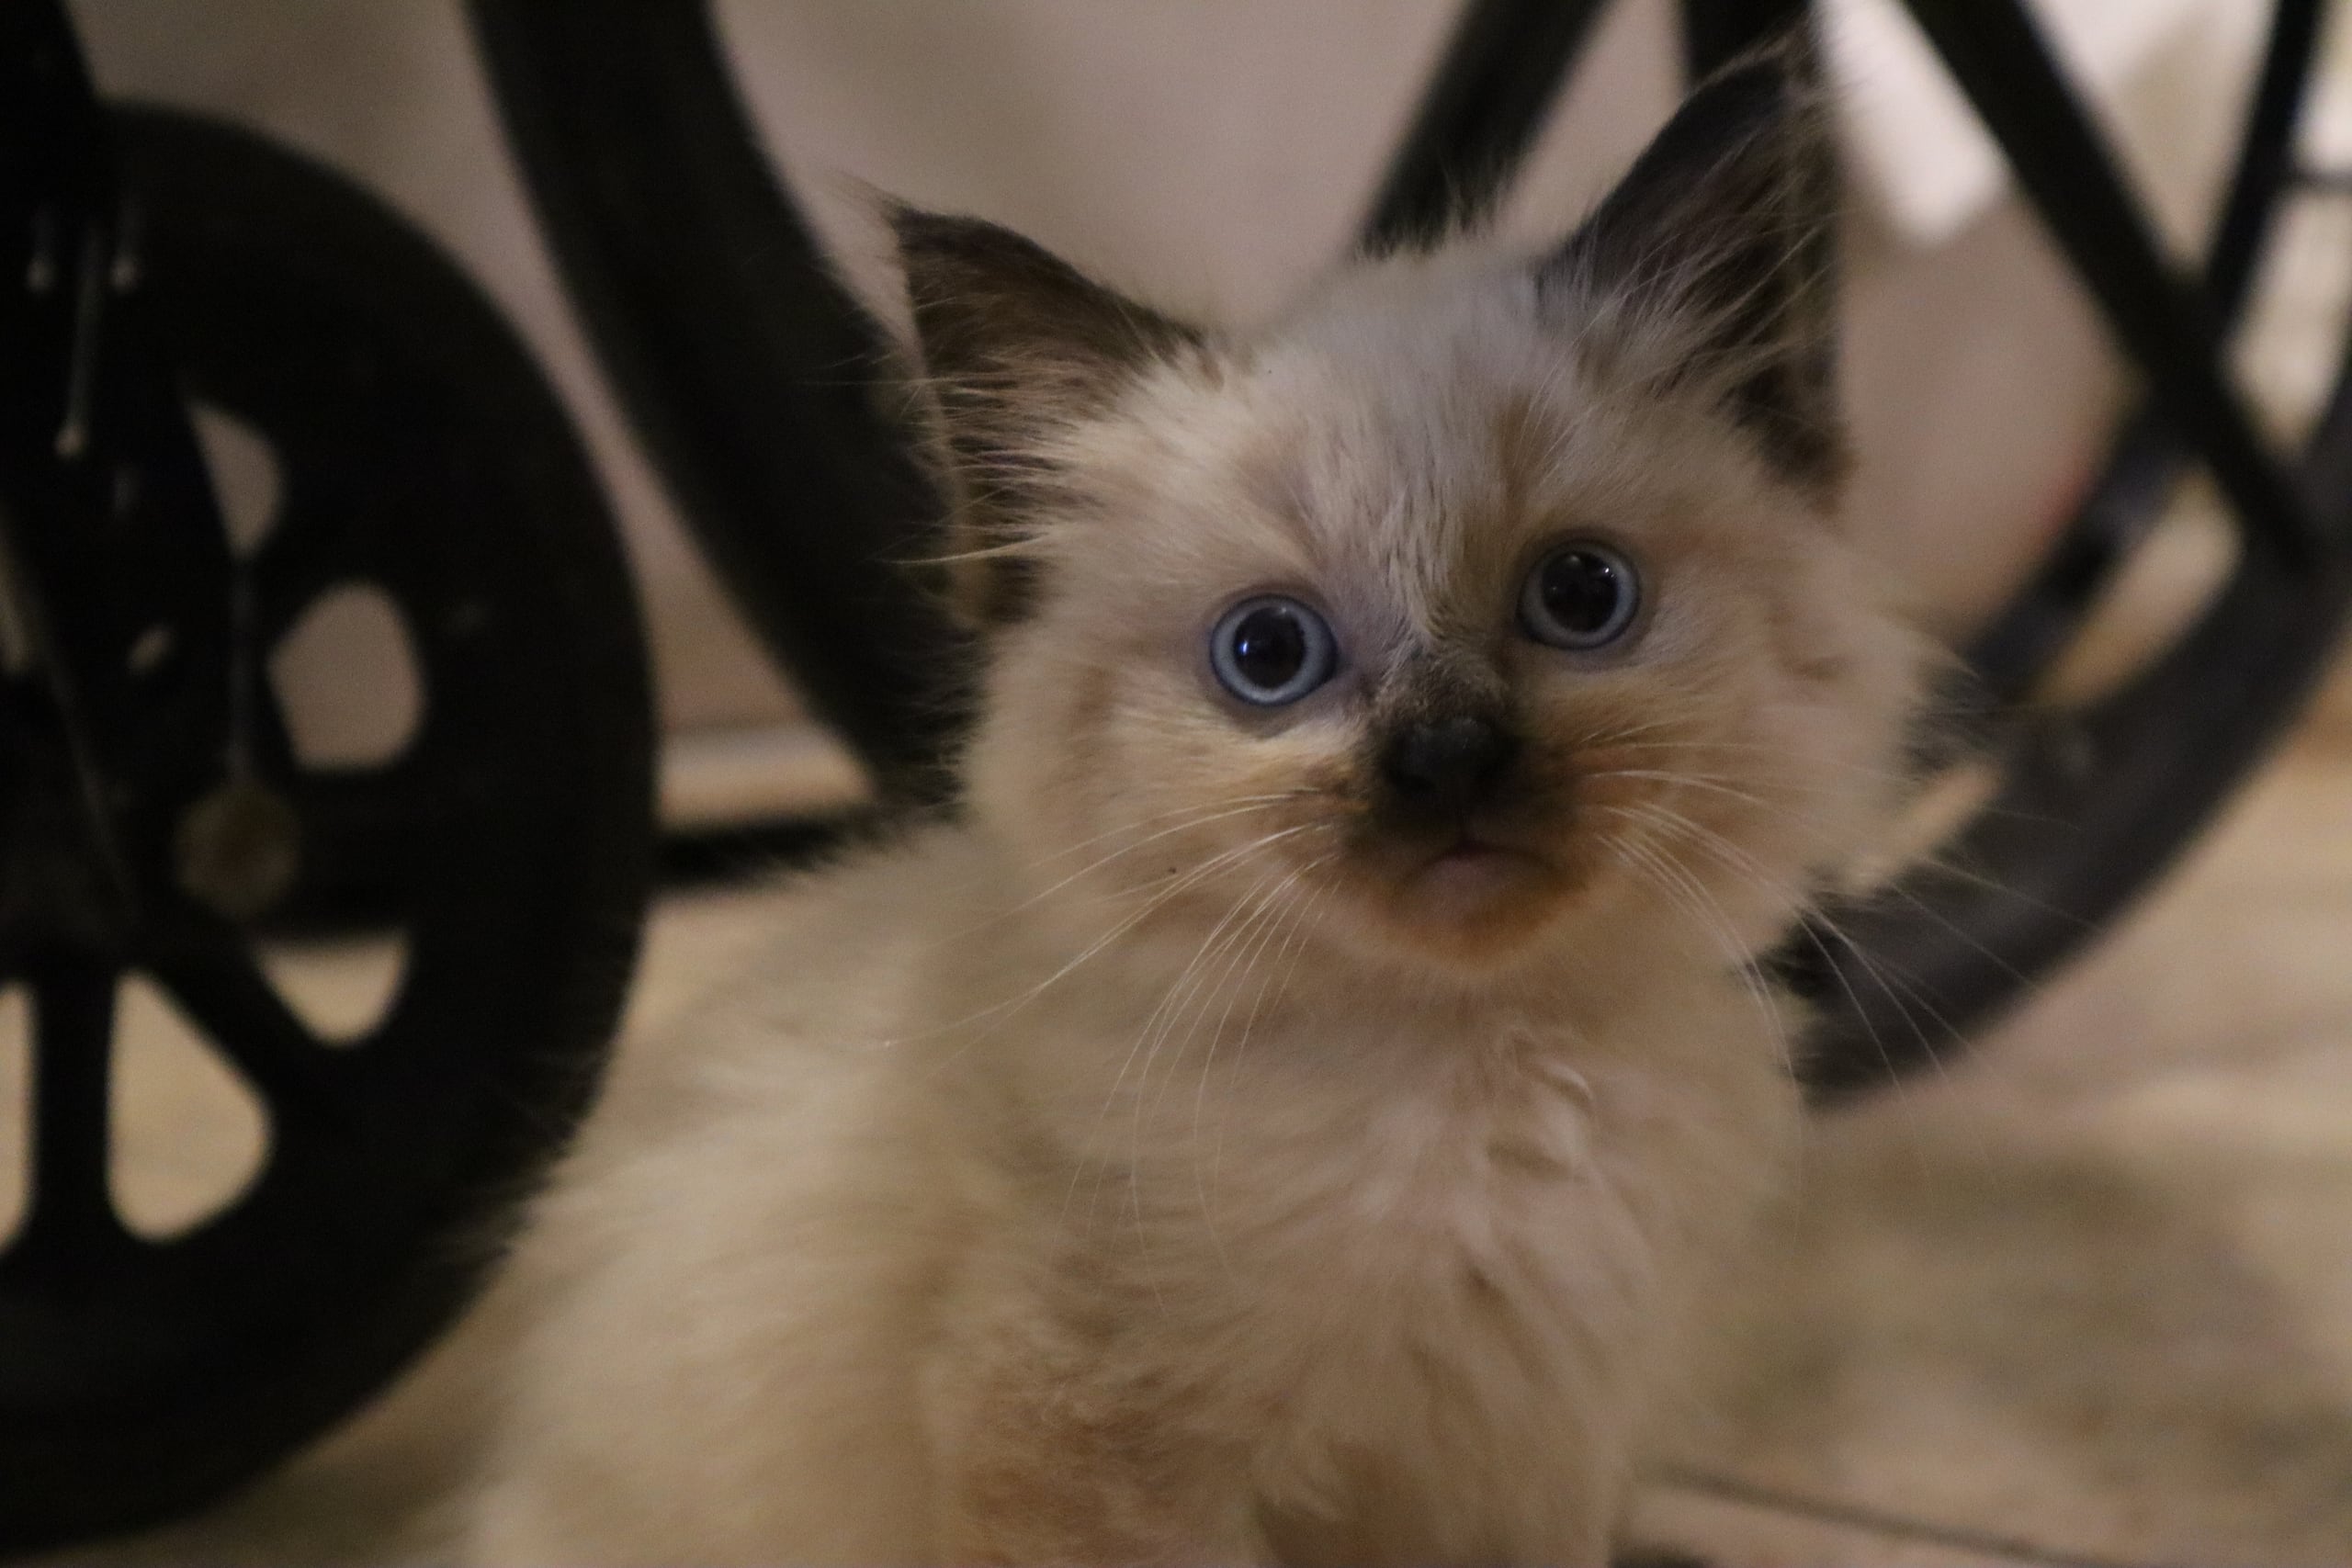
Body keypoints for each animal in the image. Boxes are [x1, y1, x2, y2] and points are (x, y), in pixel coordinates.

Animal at [468, 49, 1918, 1568]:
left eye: (1581, 596)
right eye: (1268, 654)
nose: (1447, 759)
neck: (1472, 1073)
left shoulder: (1529, 1463)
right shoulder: (1097, 1450)